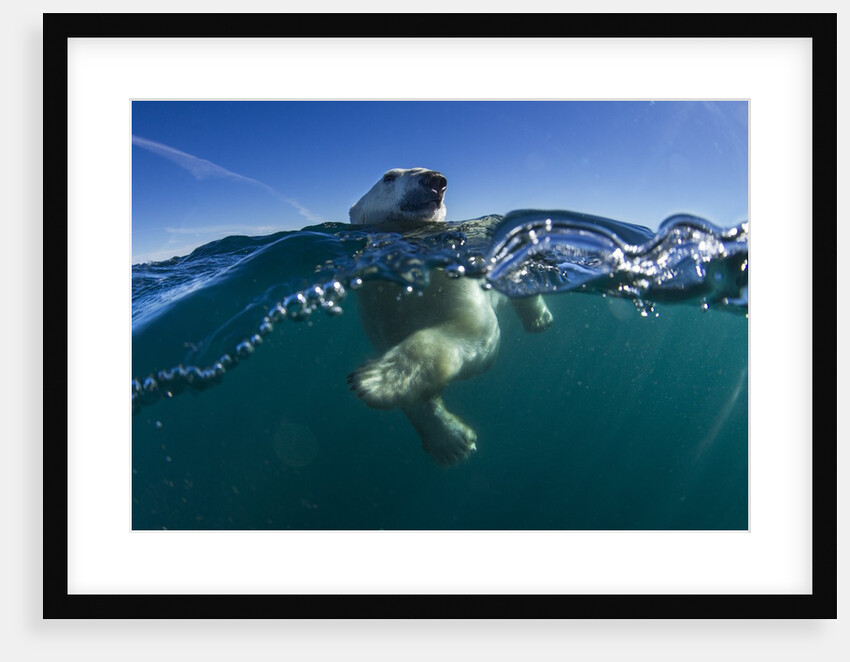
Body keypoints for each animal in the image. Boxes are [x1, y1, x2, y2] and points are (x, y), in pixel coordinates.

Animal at [347, 168, 553, 466]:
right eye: (389, 177)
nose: (435, 180)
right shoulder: (379, 313)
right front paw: (451, 441)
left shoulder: (454, 282)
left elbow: (475, 329)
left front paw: (377, 378)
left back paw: (538, 318)